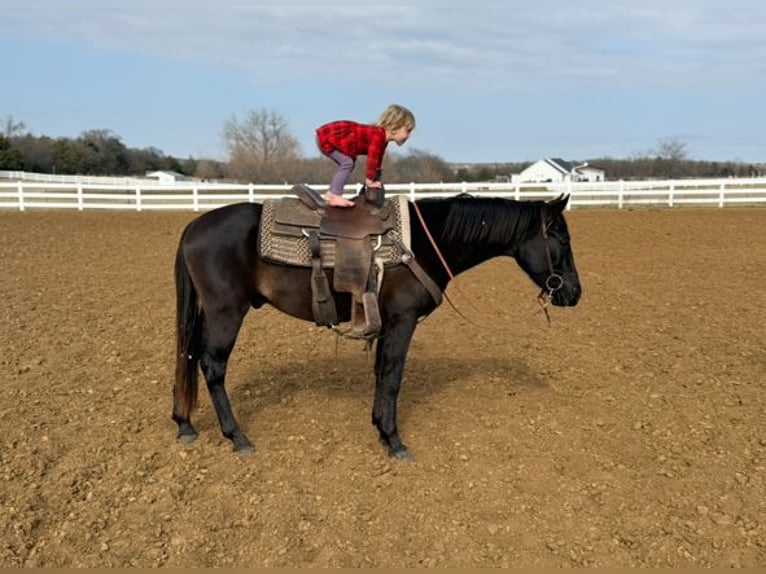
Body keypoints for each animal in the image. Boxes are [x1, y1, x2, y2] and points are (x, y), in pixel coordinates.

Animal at [172, 192, 582, 459]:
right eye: (561, 239)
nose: (574, 293)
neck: (426, 243)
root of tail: (193, 225)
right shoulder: (402, 321)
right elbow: (393, 375)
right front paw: (394, 440)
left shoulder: (386, 323)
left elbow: (381, 372)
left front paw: (380, 430)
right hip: (226, 312)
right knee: (212, 366)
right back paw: (236, 437)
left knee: (190, 357)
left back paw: (184, 424)